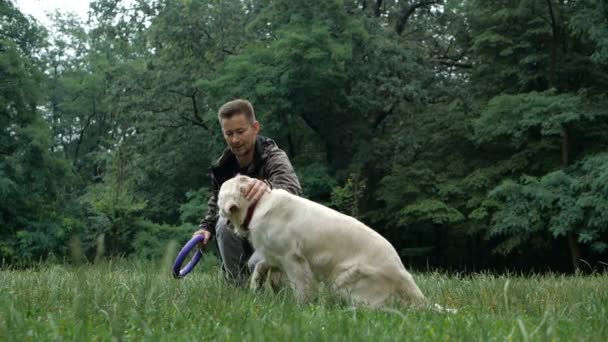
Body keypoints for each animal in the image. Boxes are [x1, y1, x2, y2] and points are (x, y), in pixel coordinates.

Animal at [220, 175, 428, 308]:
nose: (220, 218)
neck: (258, 204)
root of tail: (400, 269)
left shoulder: (292, 258)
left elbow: (301, 286)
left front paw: (301, 307)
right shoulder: (274, 254)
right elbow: (262, 265)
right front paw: (256, 285)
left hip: (343, 281)